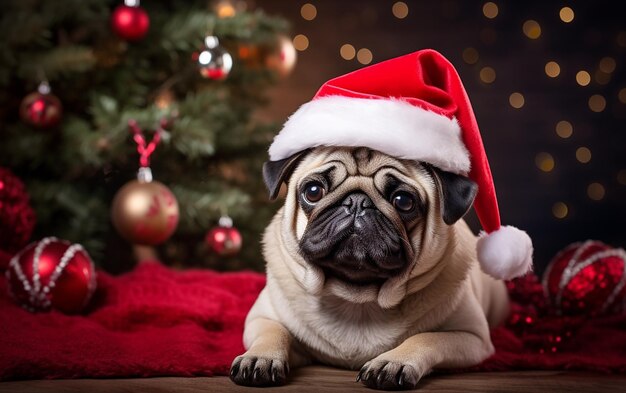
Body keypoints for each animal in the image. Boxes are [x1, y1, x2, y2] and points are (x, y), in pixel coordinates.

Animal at [229, 146, 508, 388]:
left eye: (403, 200)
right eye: (313, 191)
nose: (356, 202)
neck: (356, 299)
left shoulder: (472, 338)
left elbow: (427, 338)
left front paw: (392, 362)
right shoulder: (261, 318)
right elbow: (274, 332)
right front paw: (260, 357)